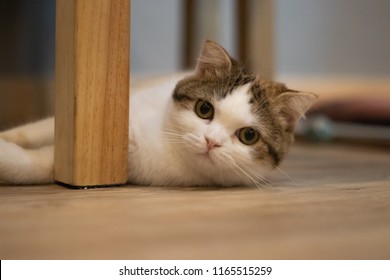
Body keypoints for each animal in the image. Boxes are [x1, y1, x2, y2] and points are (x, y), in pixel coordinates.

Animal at [0, 40, 316, 186]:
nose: (211, 141)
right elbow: (39, 129)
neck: (165, 146)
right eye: (204, 109)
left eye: (249, 135)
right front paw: (9, 137)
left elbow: (42, 164)